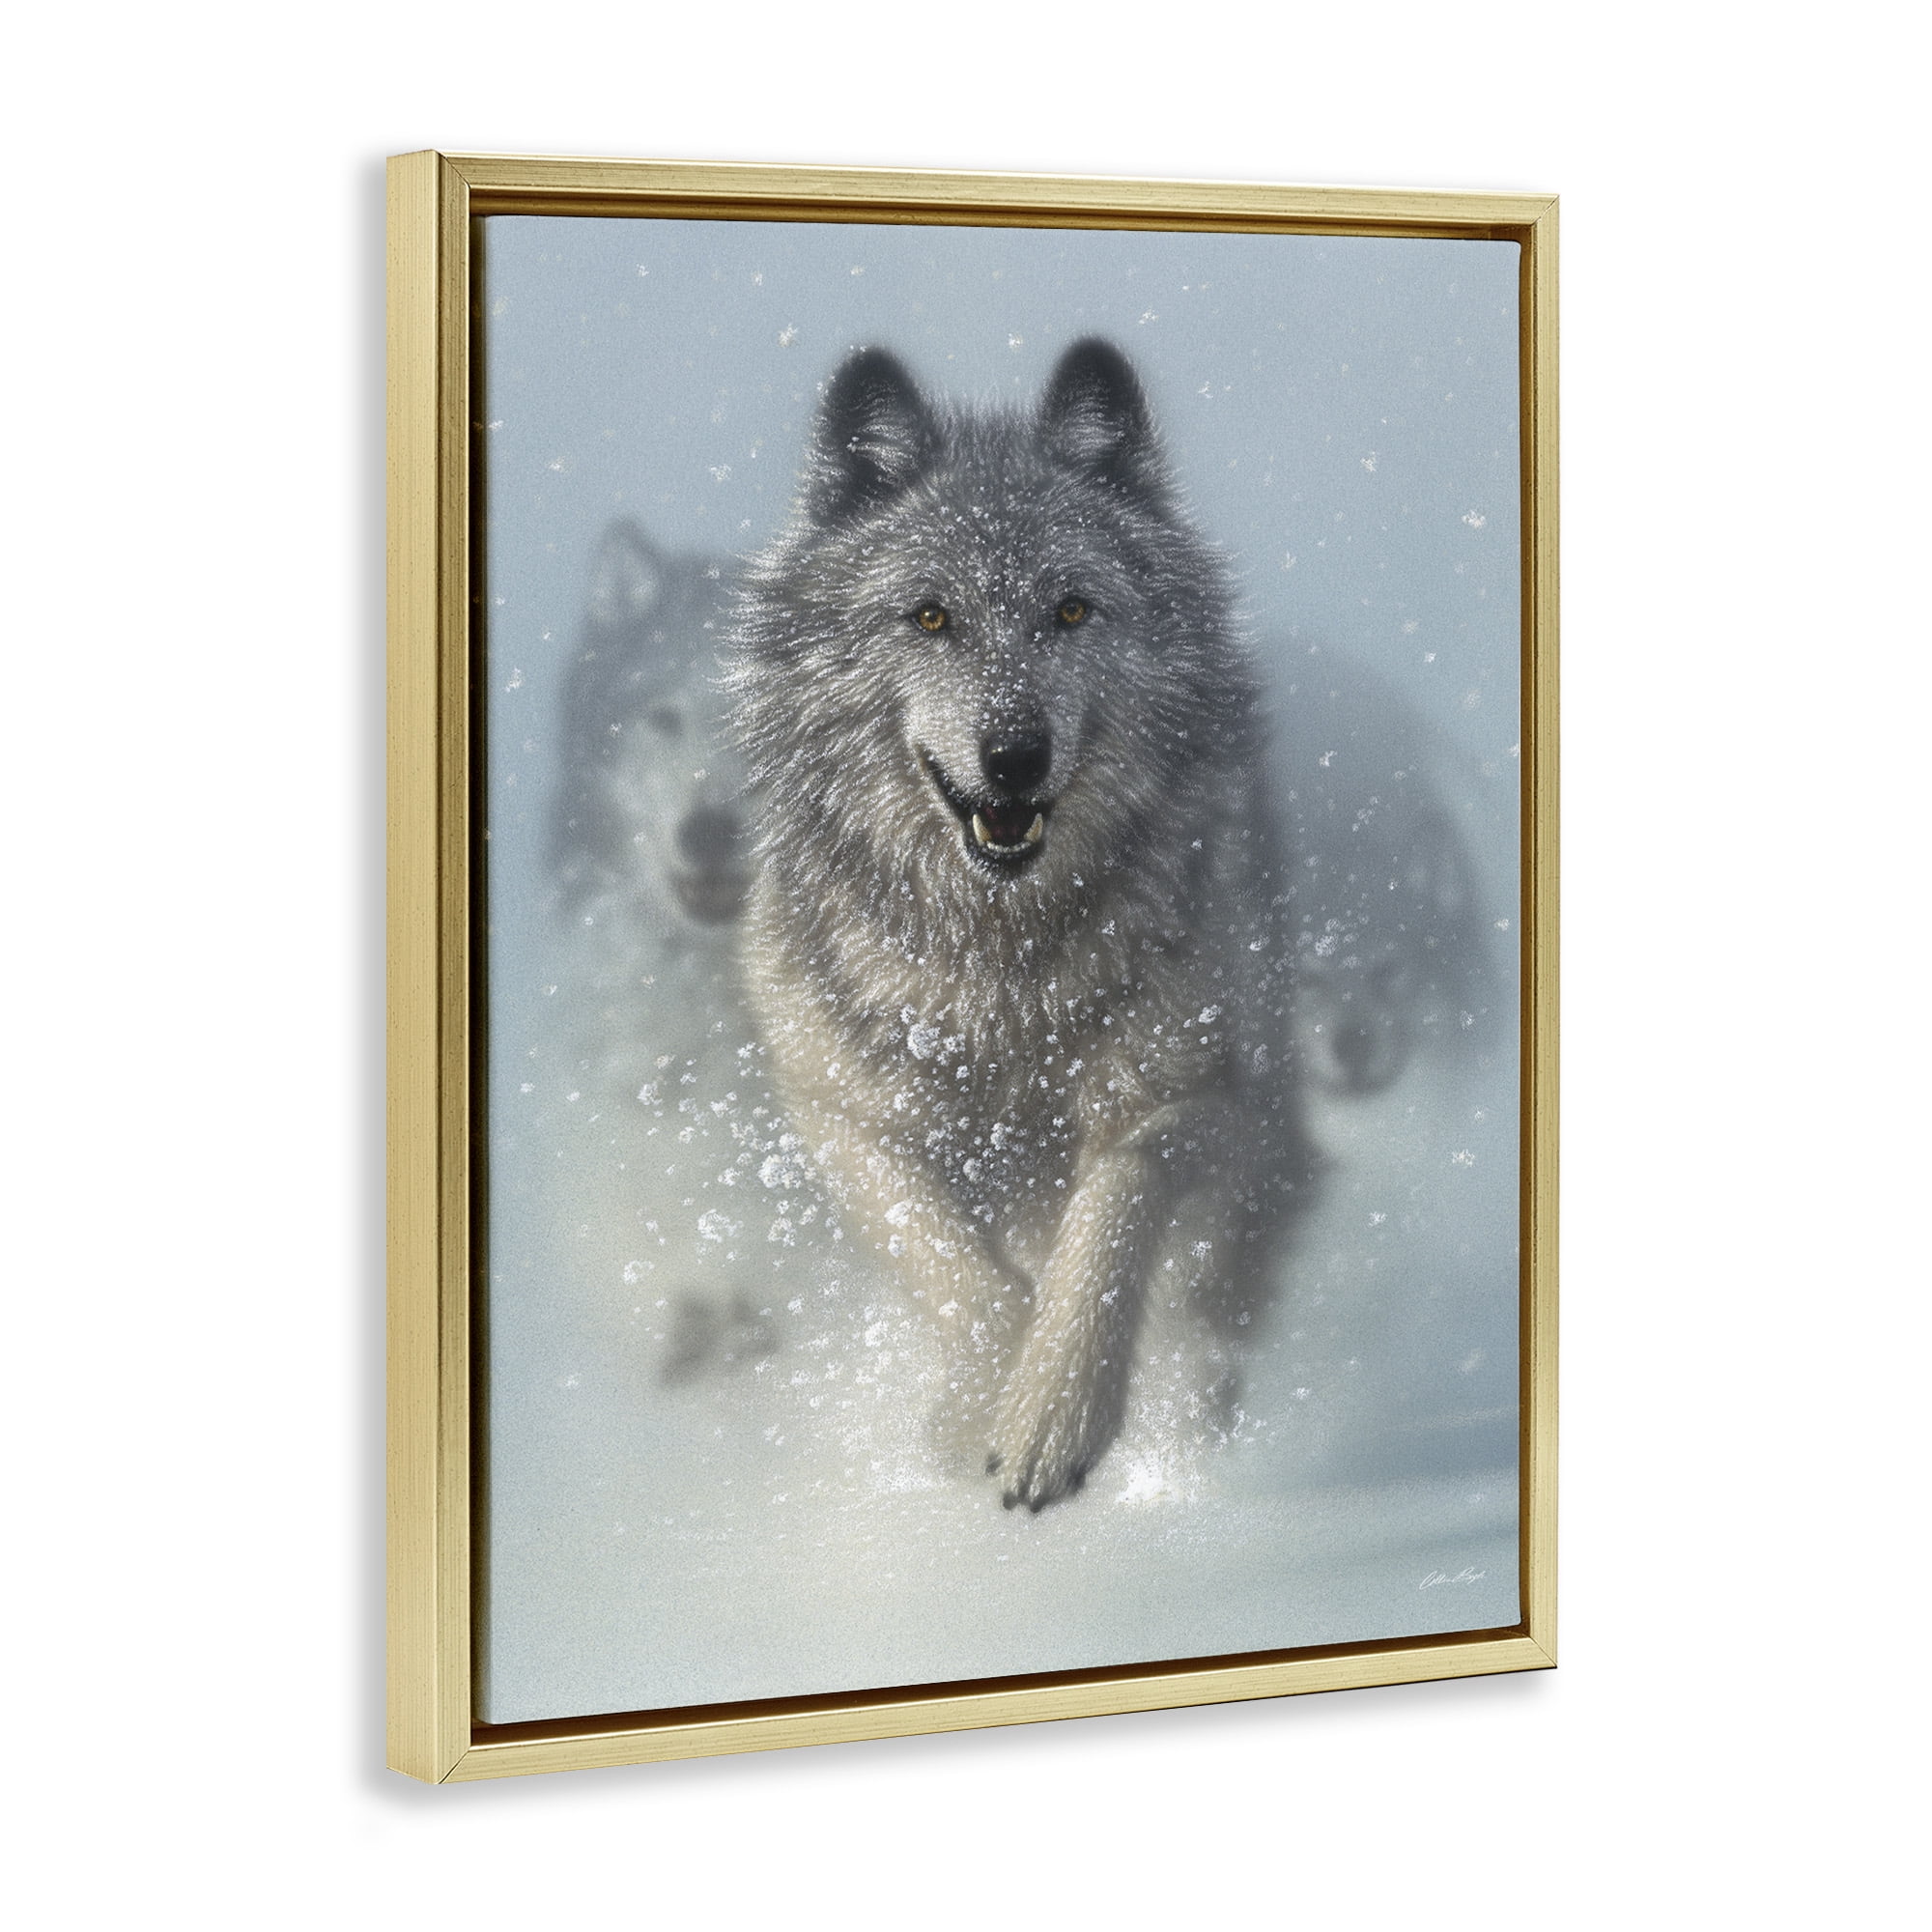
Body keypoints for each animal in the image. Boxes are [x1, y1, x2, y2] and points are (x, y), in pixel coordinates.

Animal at [729, 340, 1311, 1510]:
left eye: (1072, 611)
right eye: (929, 618)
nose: (1013, 755)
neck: (996, 972)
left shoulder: (1207, 1099)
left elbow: (1112, 1209)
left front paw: (1052, 1413)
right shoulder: (838, 1115)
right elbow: (955, 1268)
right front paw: (977, 1407)